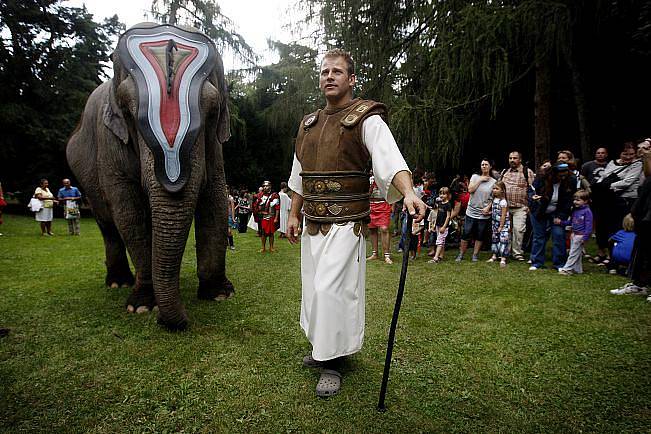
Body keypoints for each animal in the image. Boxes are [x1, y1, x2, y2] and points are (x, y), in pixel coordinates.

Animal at [67, 22, 236, 328]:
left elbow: (215, 198)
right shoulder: (110, 141)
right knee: (108, 224)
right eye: (127, 110)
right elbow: (129, 212)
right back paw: (119, 282)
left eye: (212, 110)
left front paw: (218, 295)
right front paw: (142, 306)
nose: (183, 322)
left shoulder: (214, 147)